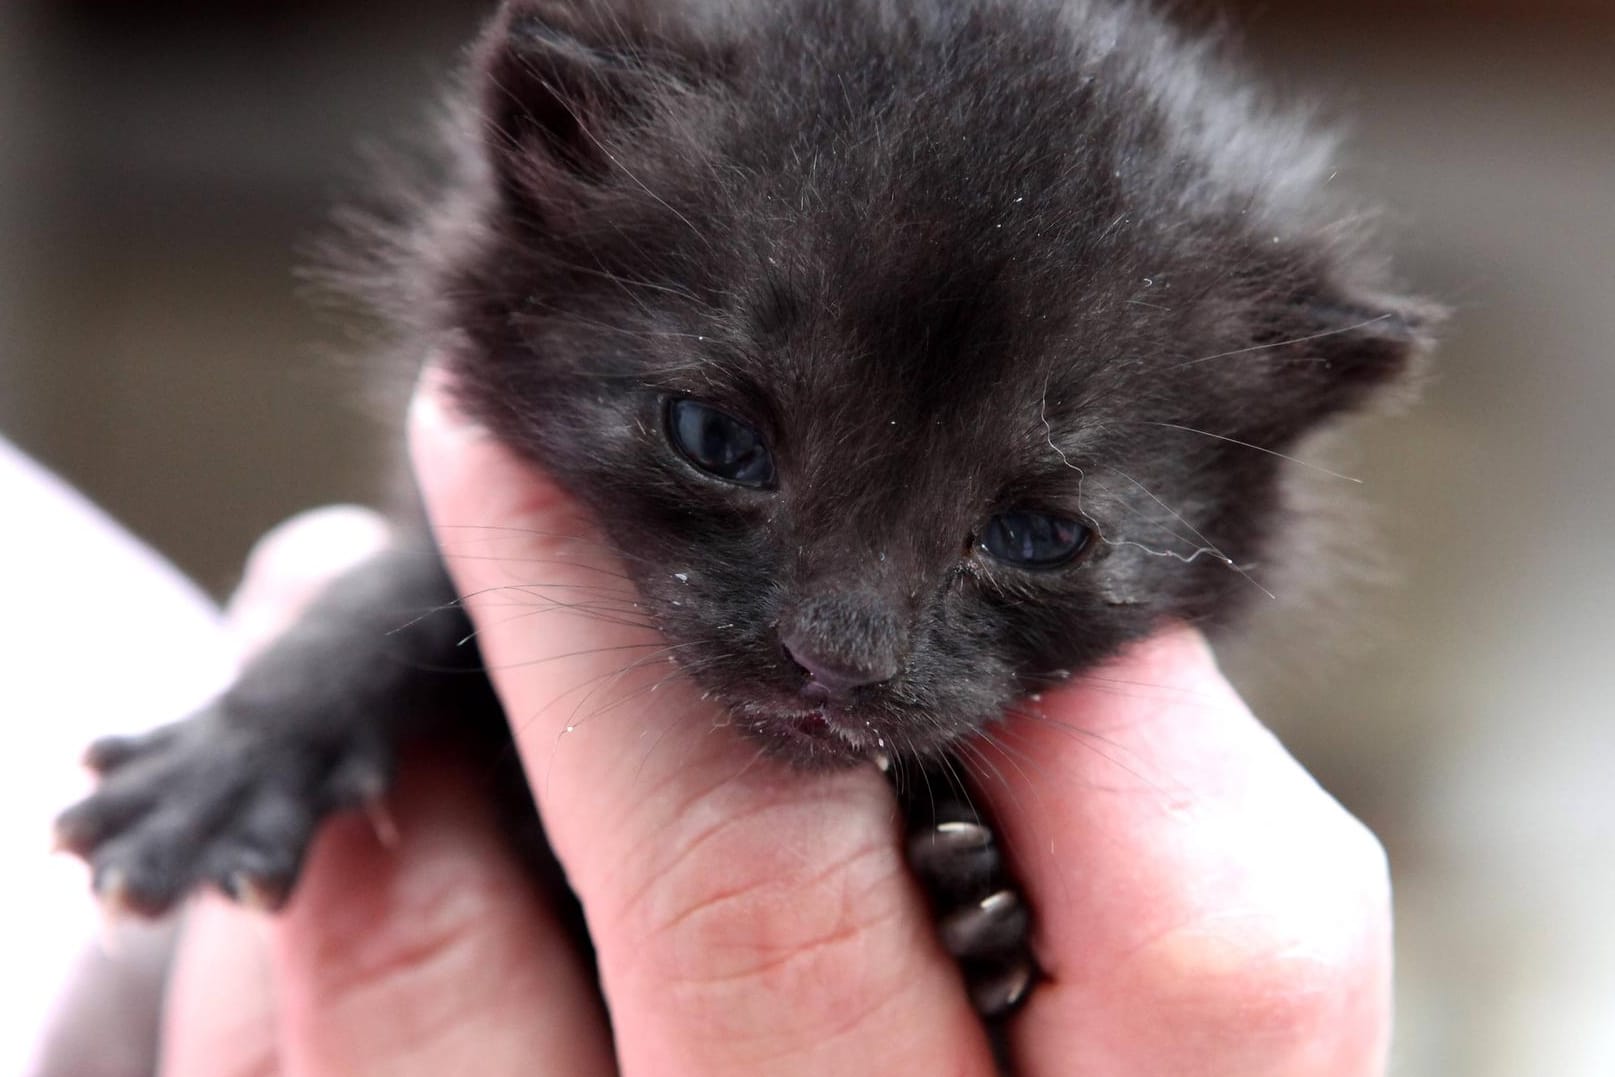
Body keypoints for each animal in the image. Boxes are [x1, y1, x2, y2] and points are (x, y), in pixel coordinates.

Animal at [56, 0, 1434, 1033]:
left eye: (1039, 535)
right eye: (714, 438)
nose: (838, 657)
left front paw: (977, 913)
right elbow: (400, 586)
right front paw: (235, 760)